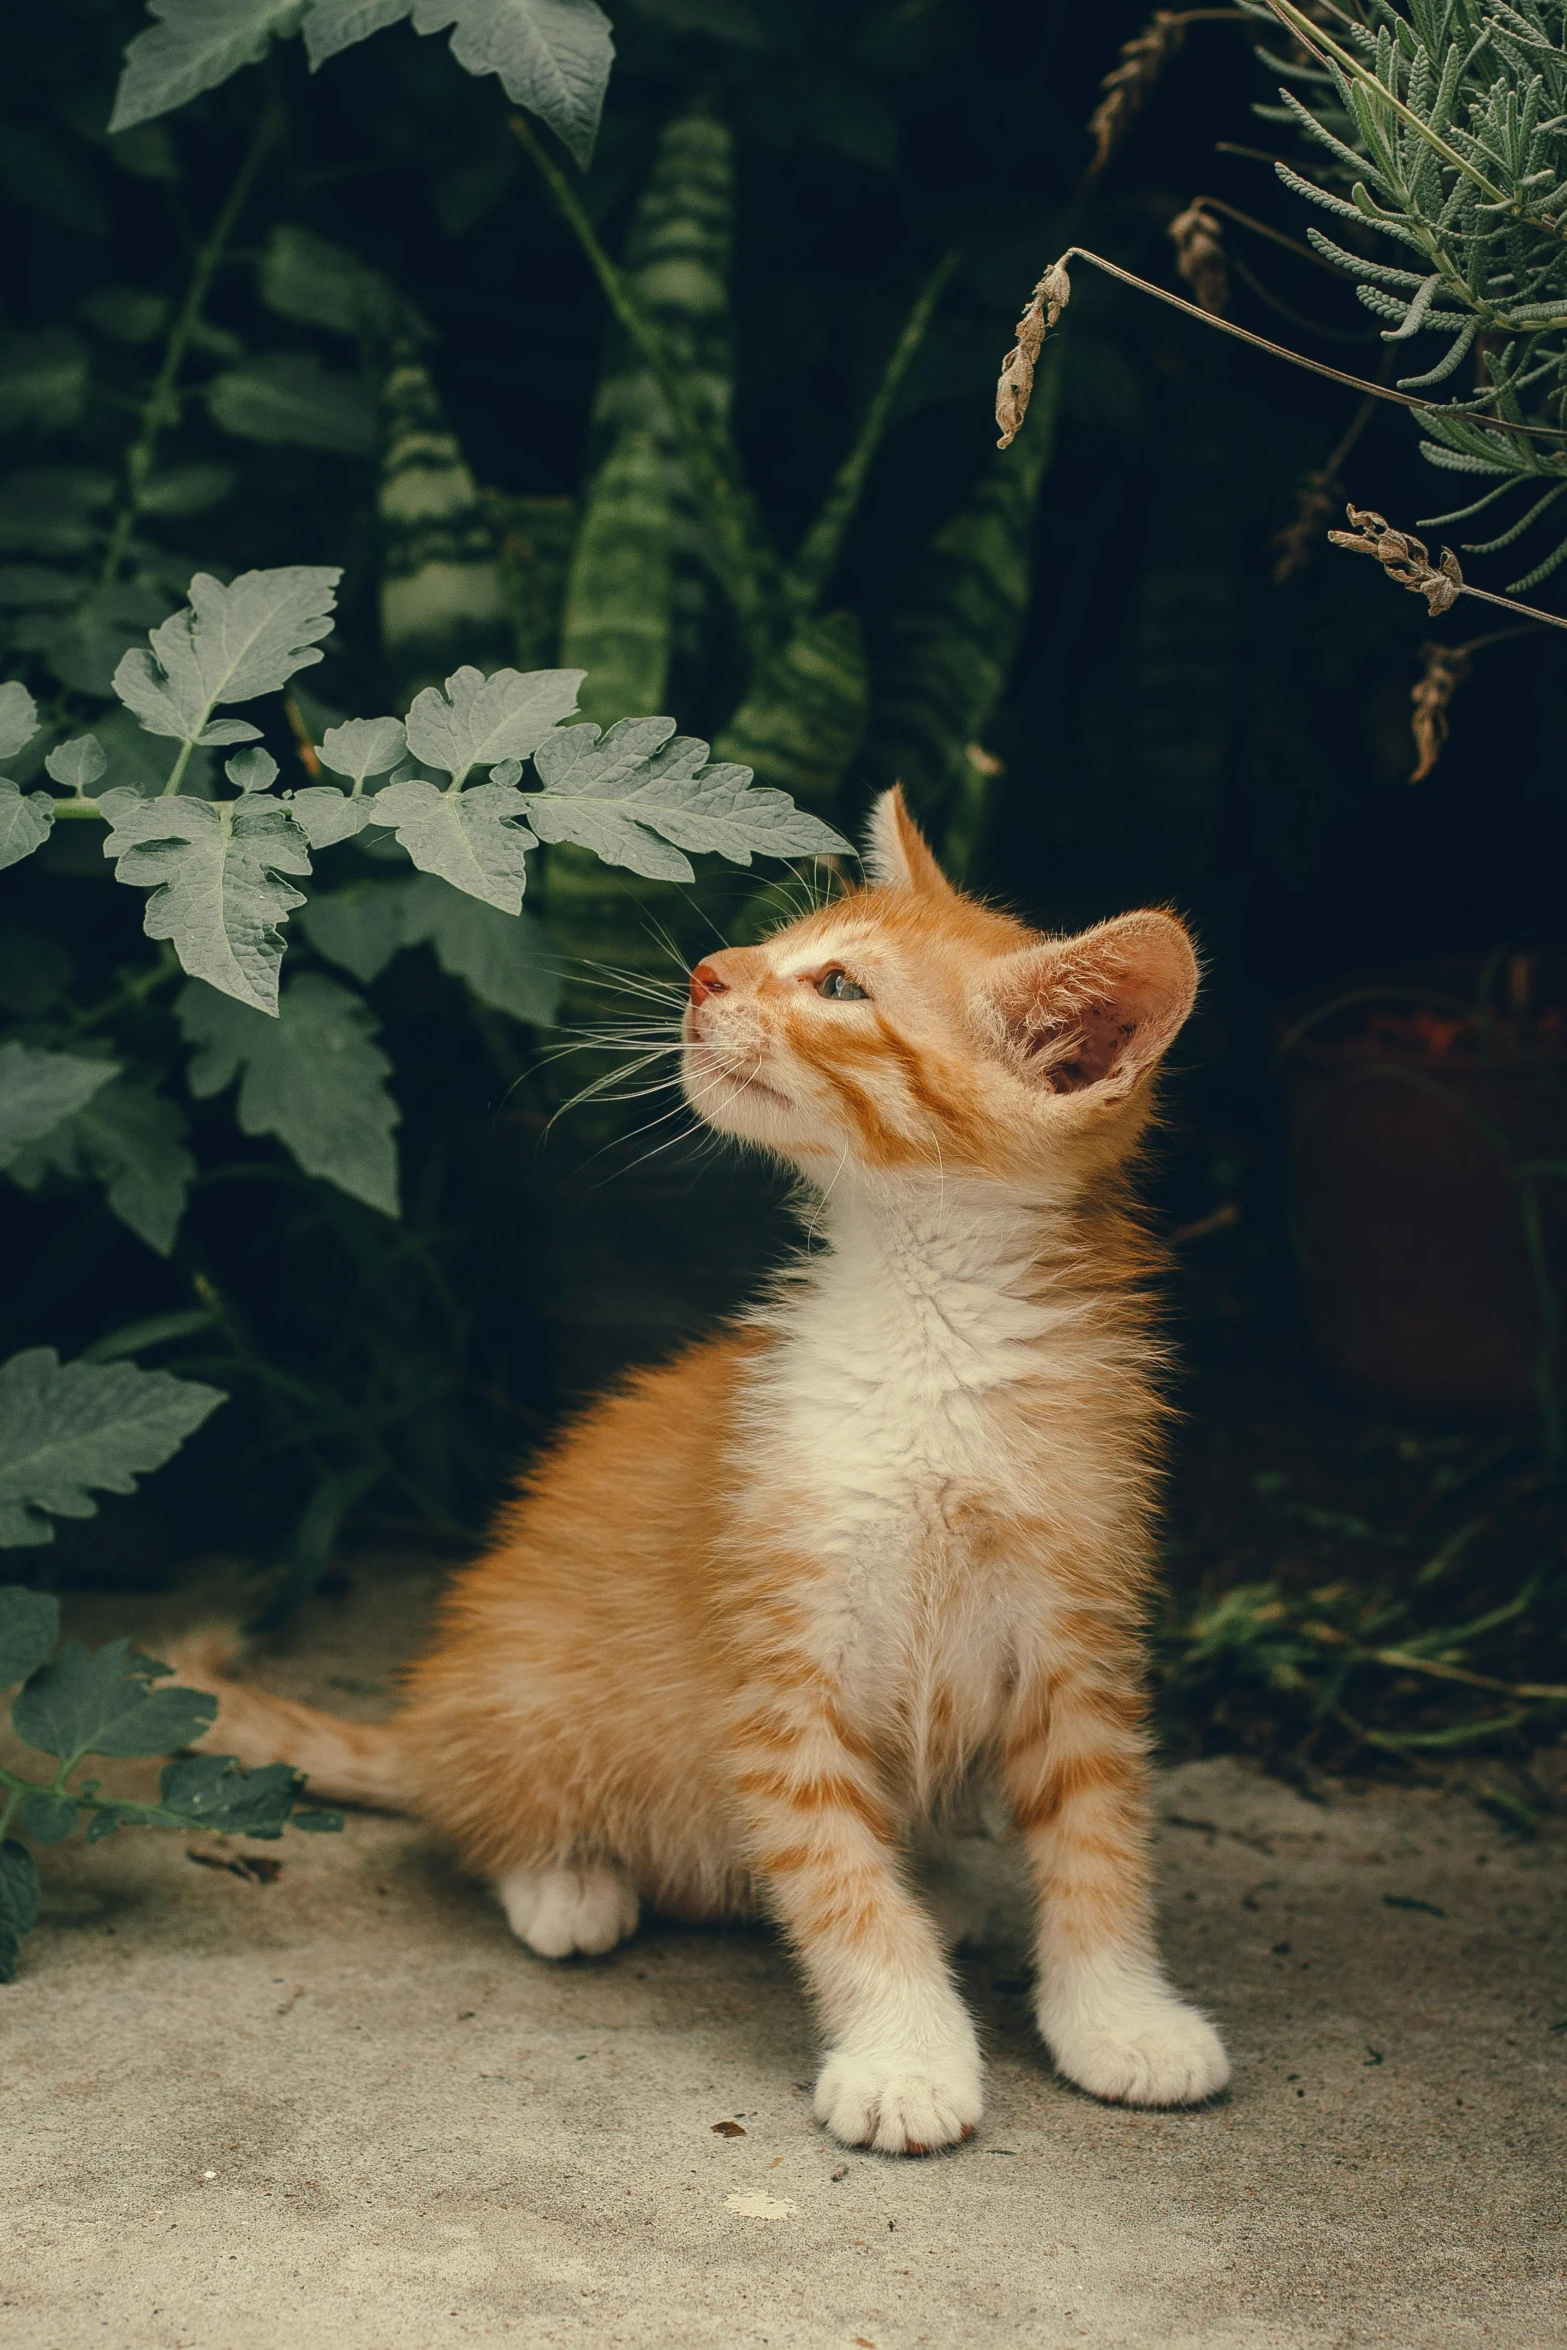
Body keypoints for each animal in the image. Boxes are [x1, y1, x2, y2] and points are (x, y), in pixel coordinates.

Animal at [184, 784, 1231, 2152]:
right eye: (780, 944)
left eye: (838, 984)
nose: (707, 971)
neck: (925, 1314)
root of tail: (426, 1719)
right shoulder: (776, 1654)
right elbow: (836, 1882)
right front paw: (904, 2051)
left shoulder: (1080, 1629)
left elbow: (1099, 1842)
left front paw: (1117, 2016)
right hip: (536, 1693)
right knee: (483, 1815)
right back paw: (566, 1880)